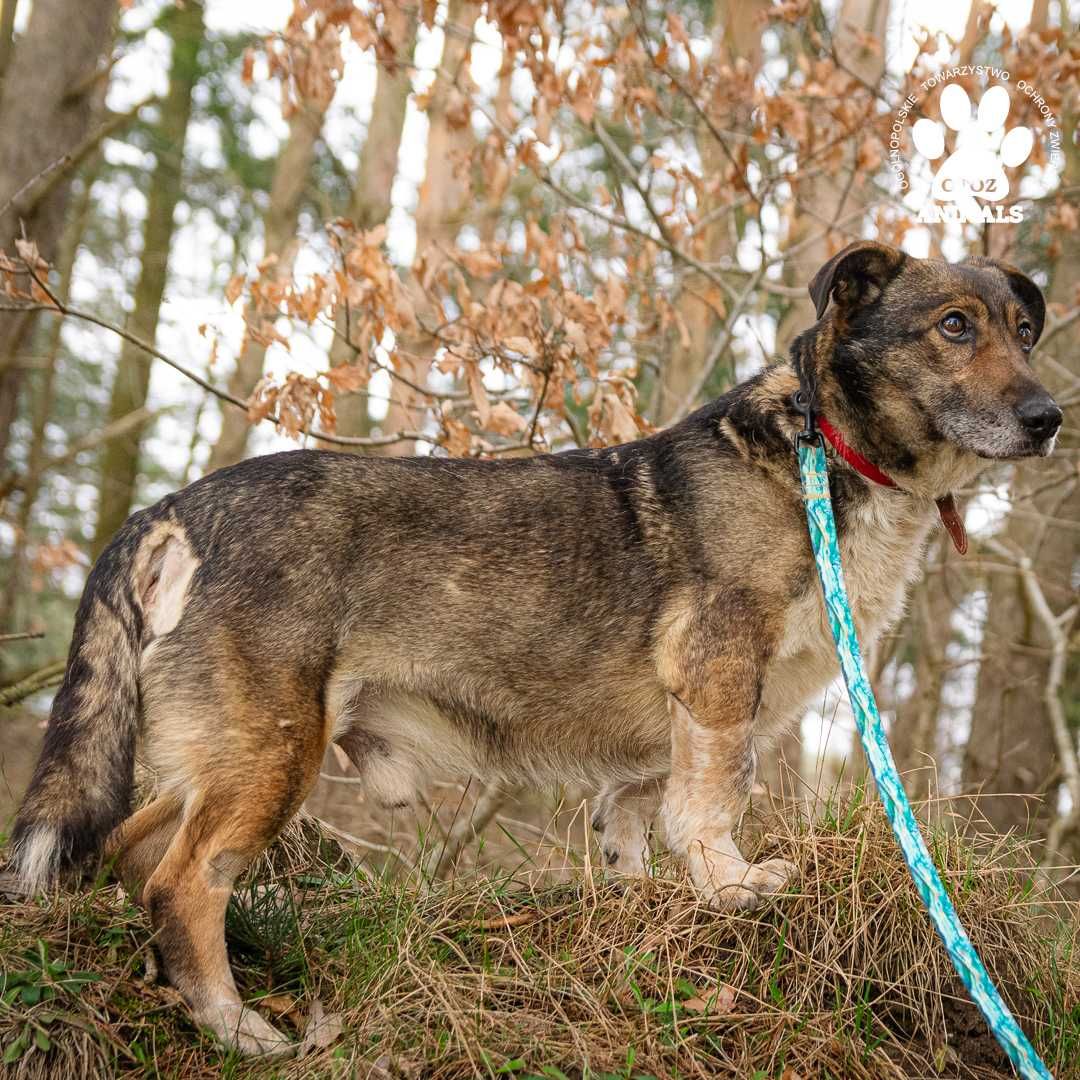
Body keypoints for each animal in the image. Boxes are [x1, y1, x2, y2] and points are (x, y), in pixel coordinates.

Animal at [8, 243, 1058, 1054]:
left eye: (1024, 330)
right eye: (954, 326)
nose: (1048, 419)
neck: (824, 446)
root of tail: (173, 509)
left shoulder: (672, 726)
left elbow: (642, 814)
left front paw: (651, 896)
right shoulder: (719, 675)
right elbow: (715, 798)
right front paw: (731, 888)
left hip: (224, 754)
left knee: (136, 849)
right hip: (274, 751)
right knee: (184, 883)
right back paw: (236, 1027)